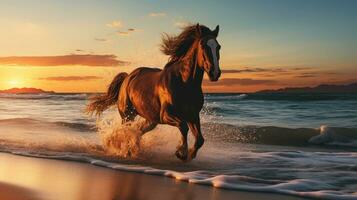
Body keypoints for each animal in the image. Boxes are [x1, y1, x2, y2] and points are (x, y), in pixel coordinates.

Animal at [86, 23, 220, 161]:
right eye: (203, 45)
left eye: (218, 47)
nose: (215, 73)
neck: (184, 82)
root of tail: (128, 77)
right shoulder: (166, 115)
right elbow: (183, 127)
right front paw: (181, 152)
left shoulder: (192, 115)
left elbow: (200, 139)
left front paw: (189, 154)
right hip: (127, 115)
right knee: (127, 130)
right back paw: (125, 151)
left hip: (151, 119)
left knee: (138, 130)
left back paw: (133, 149)